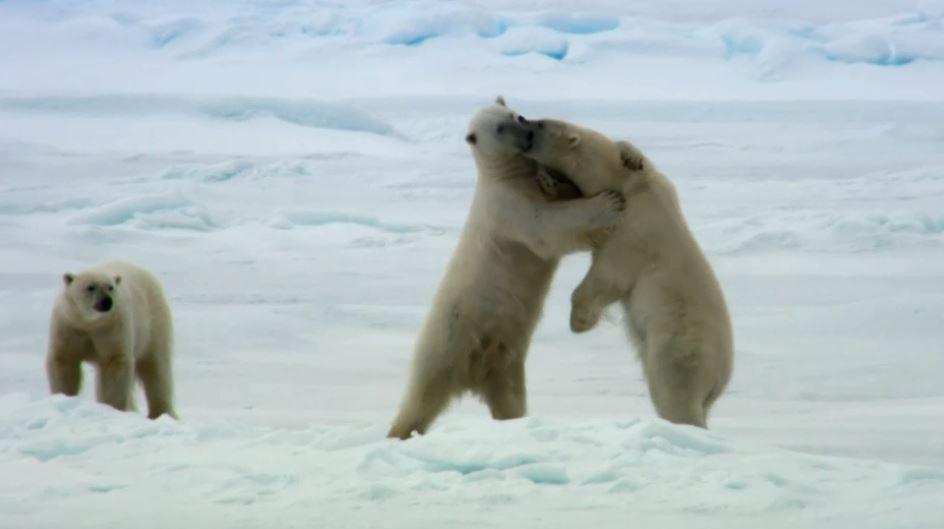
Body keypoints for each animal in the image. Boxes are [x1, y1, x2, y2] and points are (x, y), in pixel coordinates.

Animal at [45, 262, 177, 418]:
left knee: (157, 369)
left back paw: (162, 413)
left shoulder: (112, 328)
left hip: (152, 327)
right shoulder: (68, 325)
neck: (90, 323)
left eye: (110, 287)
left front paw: (113, 407)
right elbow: (64, 360)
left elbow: (115, 361)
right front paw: (64, 397)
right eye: (90, 287)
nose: (106, 301)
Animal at [386, 98, 628, 438]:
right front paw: (608, 203)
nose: (526, 136)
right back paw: (399, 432)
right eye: (501, 128)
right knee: (421, 398)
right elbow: (547, 226)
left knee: (510, 399)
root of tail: (472, 376)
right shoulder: (507, 206)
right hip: (445, 344)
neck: (504, 175)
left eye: (516, 115)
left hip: (505, 360)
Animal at [520, 117, 732, 426]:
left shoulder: (633, 231)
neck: (624, 183)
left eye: (540, 124)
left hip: (680, 348)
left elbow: (608, 276)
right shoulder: (657, 185)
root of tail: (721, 377)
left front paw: (579, 321)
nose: (521, 119)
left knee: (675, 394)